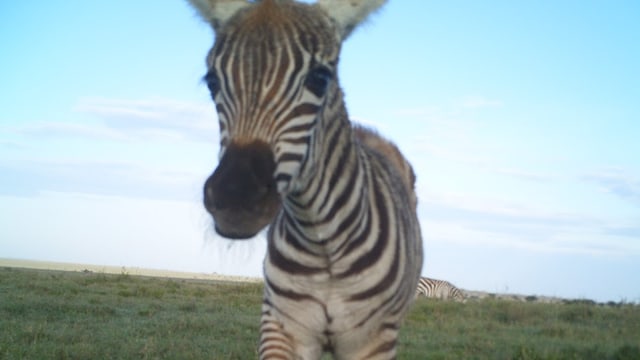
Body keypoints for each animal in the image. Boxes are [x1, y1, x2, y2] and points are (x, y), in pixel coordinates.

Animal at [188, 1, 422, 358]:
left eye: (320, 78)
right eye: (212, 81)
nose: (235, 199)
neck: (322, 240)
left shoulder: (372, 341)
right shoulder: (282, 326)